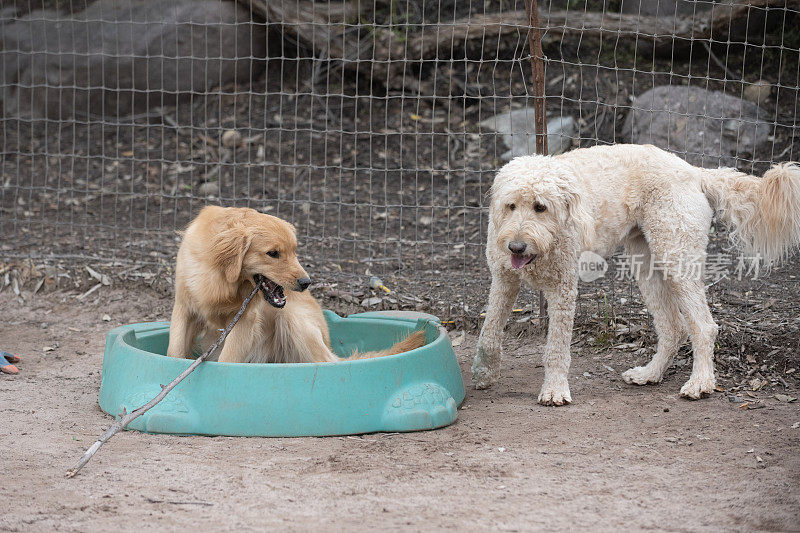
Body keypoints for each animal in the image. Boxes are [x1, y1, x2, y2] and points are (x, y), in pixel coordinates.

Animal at [168, 206, 424, 364]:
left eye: (294, 251)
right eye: (273, 253)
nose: (306, 282)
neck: (221, 279)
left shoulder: (245, 319)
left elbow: (227, 359)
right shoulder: (184, 309)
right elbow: (174, 351)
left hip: (294, 319)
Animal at [476, 142, 800, 404]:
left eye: (540, 207)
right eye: (510, 205)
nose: (516, 247)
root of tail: (694, 172)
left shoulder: (562, 289)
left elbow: (556, 347)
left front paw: (554, 389)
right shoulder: (503, 281)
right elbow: (489, 331)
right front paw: (484, 372)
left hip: (677, 259)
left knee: (703, 326)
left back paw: (700, 383)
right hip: (646, 266)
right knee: (673, 328)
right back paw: (650, 374)